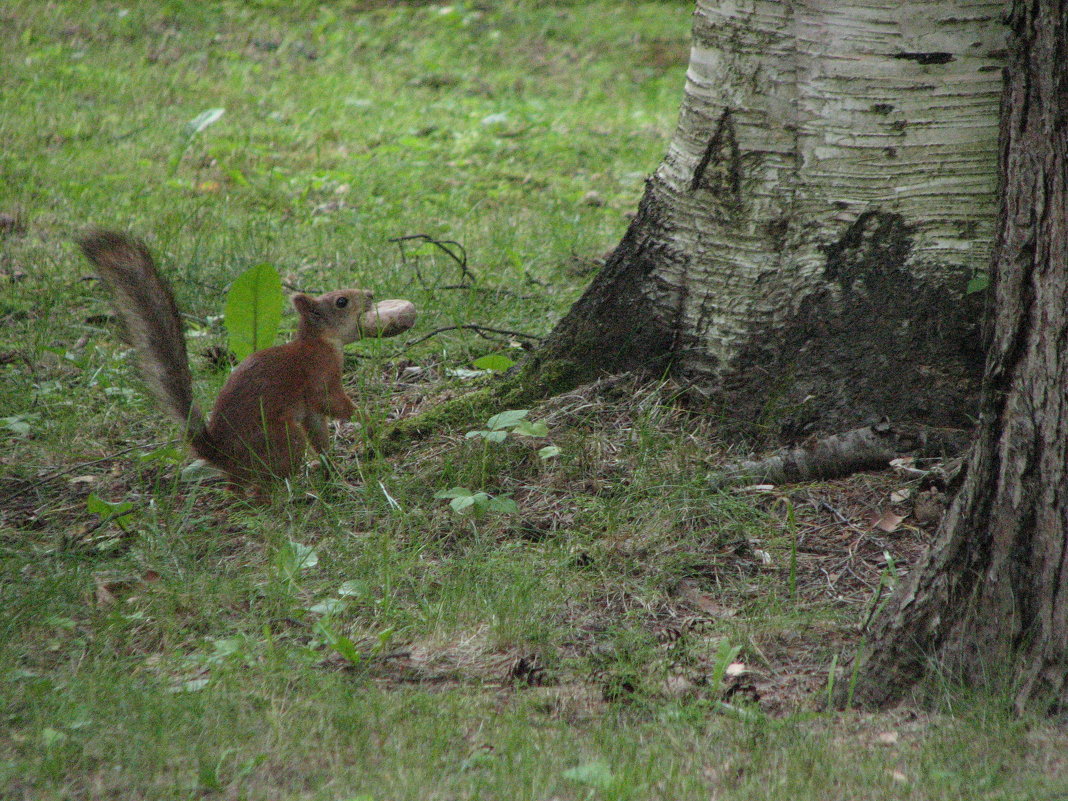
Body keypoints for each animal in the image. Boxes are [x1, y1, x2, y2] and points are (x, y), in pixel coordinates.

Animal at [76, 230, 412, 489]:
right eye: (341, 301)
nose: (370, 294)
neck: (317, 342)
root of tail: (223, 455)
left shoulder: (309, 409)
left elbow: (318, 428)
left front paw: (333, 468)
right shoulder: (320, 374)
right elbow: (331, 402)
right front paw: (365, 419)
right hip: (282, 438)